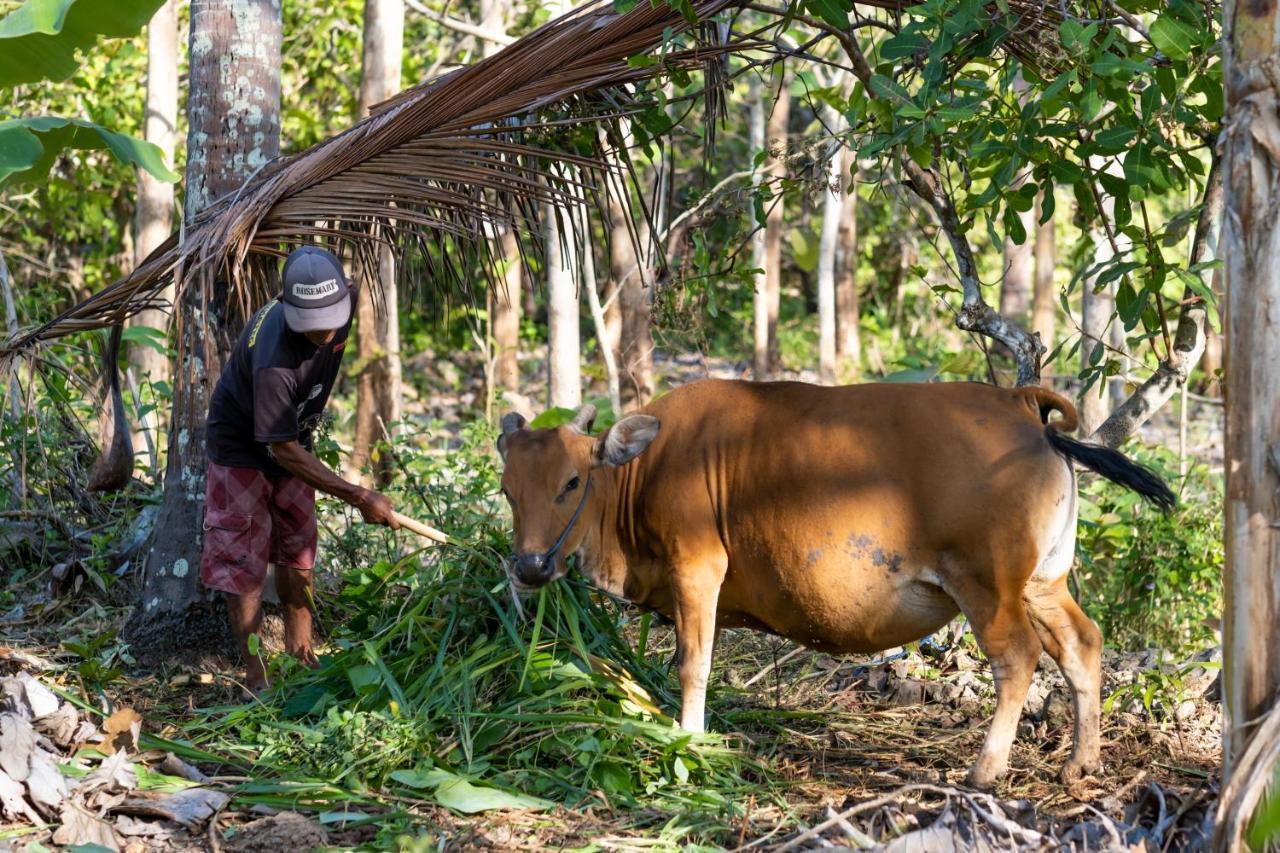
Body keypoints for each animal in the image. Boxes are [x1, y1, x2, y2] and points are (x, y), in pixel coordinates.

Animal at [494, 379, 1172, 783]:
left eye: (572, 482)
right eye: (507, 490)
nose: (530, 567)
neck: (648, 467)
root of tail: (1023, 408)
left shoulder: (698, 567)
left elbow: (693, 665)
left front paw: (689, 740)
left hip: (988, 583)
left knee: (1018, 658)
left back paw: (985, 770)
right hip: (1044, 582)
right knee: (1082, 645)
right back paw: (1082, 763)